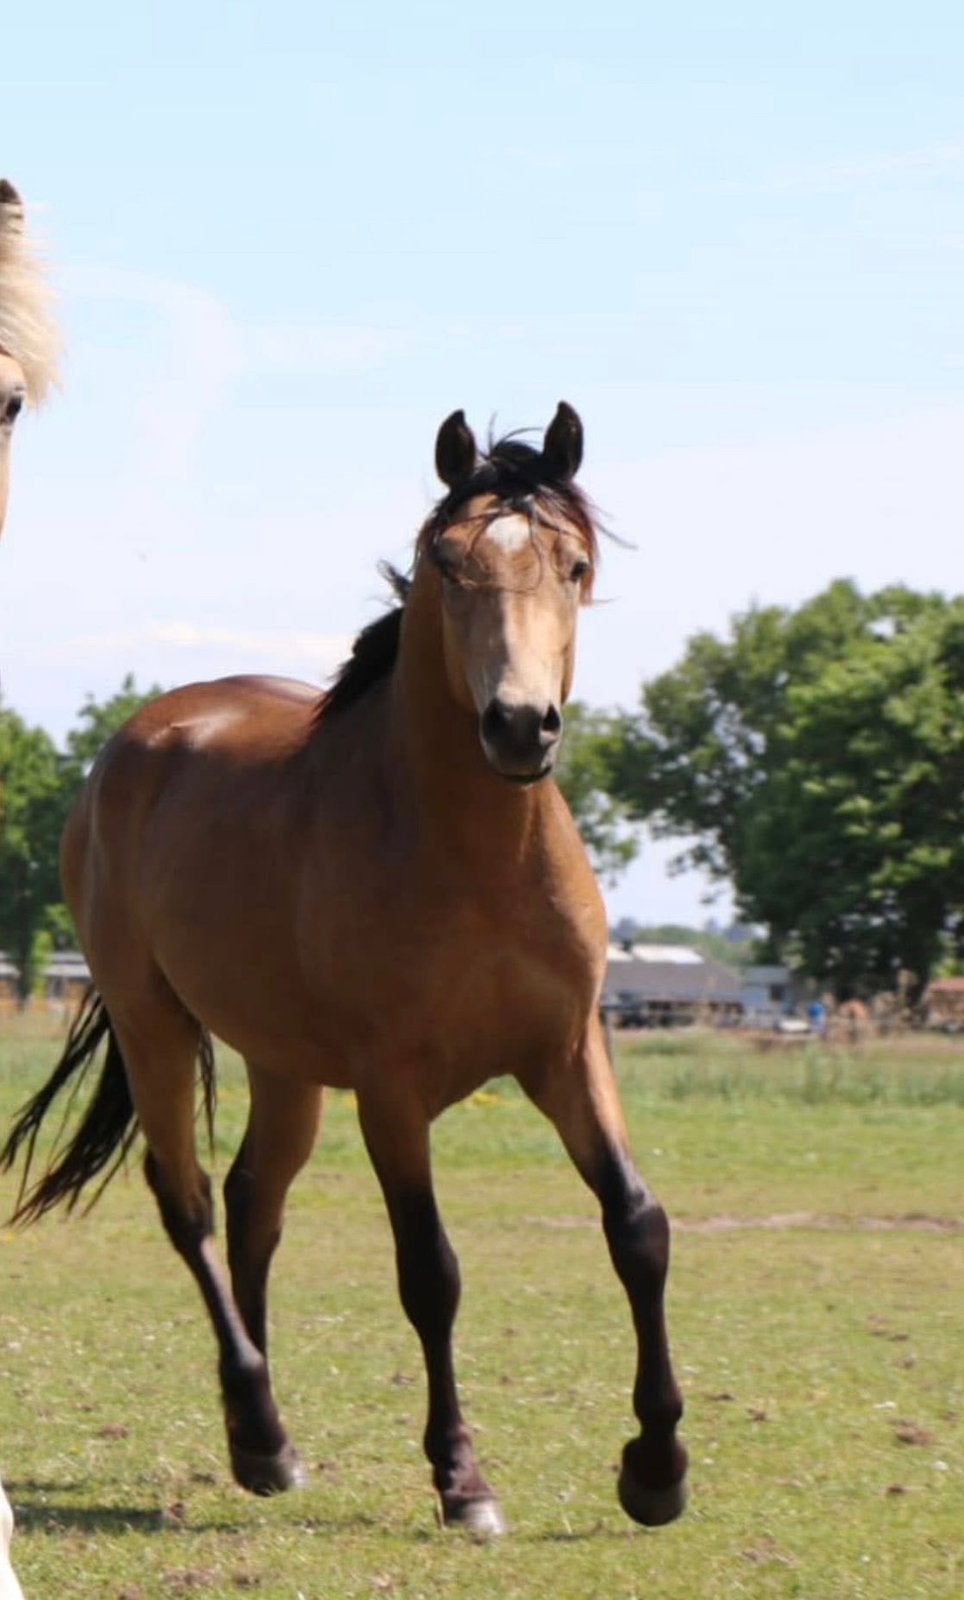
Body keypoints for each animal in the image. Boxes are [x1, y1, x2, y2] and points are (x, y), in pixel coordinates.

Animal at [1, 403, 688, 1536]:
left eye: (575, 562)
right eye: (449, 564)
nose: (519, 725)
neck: (476, 858)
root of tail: (137, 743)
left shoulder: (566, 1054)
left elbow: (637, 1226)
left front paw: (658, 1466)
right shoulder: (392, 1090)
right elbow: (430, 1272)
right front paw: (463, 1481)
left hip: (284, 1064)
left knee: (253, 1201)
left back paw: (260, 1440)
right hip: (155, 1025)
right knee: (190, 1201)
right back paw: (261, 1425)